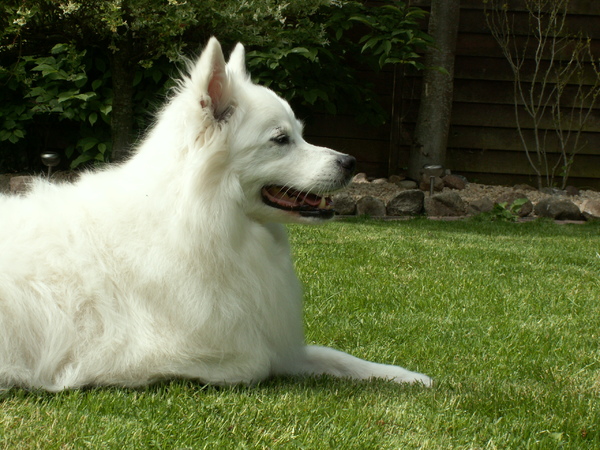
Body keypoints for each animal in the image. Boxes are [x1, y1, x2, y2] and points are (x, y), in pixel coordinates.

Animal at [0, 37, 432, 390]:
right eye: (281, 139)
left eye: (300, 132)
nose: (351, 162)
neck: (204, 219)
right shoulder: (145, 348)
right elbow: (256, 365)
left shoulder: (271, 333)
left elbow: (333, 355)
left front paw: (406, 376)